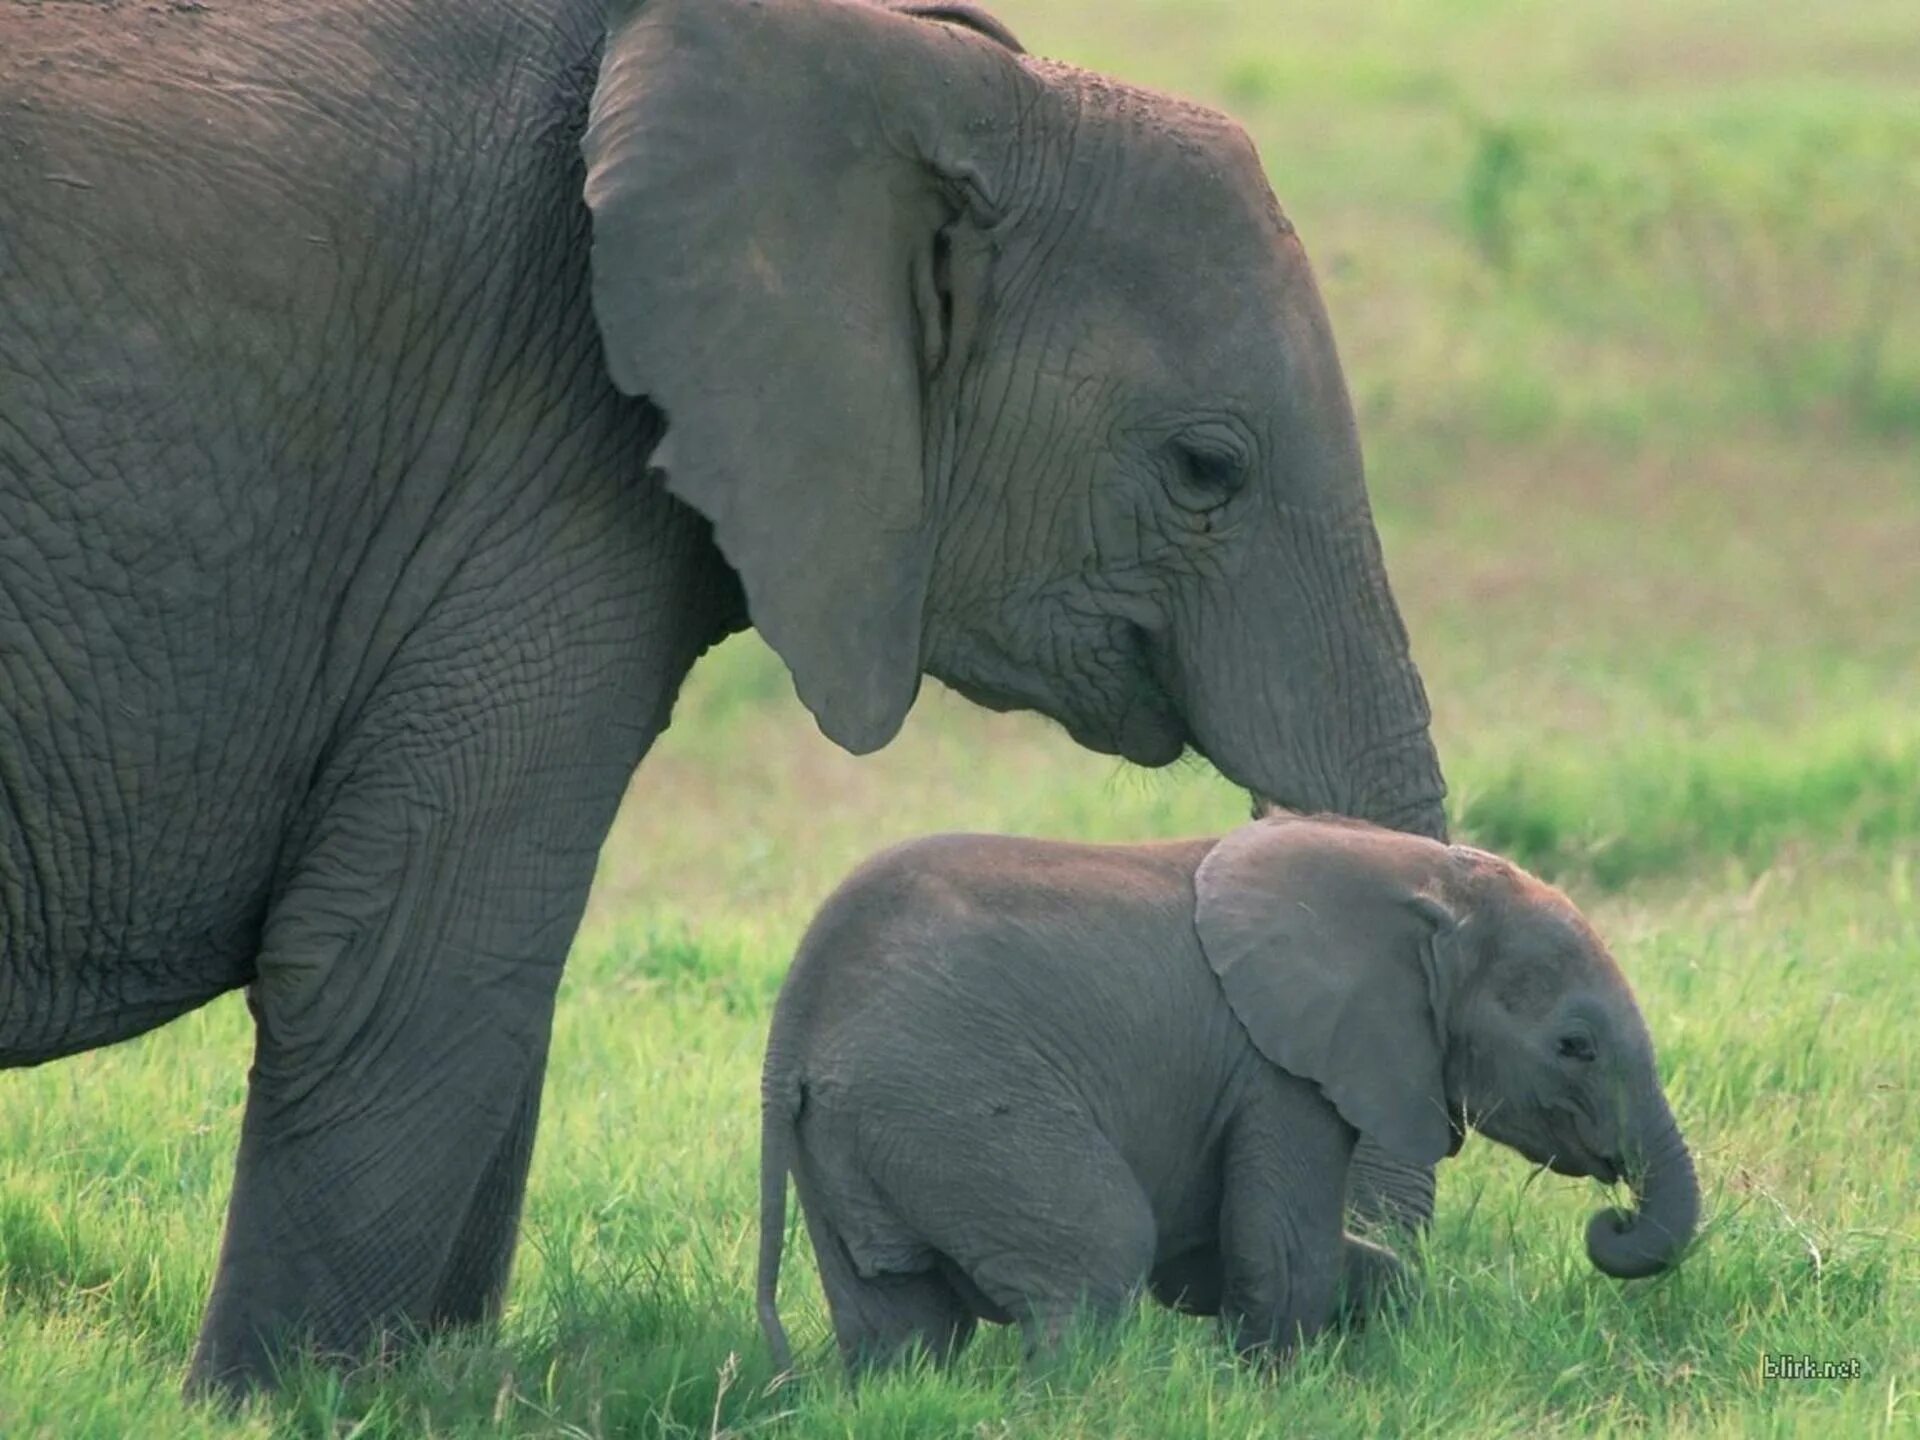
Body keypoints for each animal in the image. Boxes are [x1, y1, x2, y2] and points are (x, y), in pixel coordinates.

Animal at [0, 0, 1443, 1405]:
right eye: (1206, 469)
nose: (1370, 1297)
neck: (929, 76)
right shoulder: (533, 459)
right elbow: (411, 961)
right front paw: (278, 1407)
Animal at [756, 814, 1704, 1374]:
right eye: (1574, 1047)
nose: (1614, 1220)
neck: (1425, 882)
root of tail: (794, 1024)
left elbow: (1232, 1258)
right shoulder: (1279, 1068)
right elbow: (1280, 1253)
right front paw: (1275, 1393)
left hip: (855, 1135)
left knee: (898, 1323)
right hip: (951, 1101)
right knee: (1096, 1259)